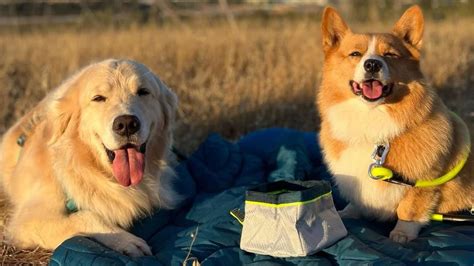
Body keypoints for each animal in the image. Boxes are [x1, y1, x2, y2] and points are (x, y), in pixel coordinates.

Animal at [316, 5, 472, 243]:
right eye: (355, 54)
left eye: (390, 55)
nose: (372, 64)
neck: (371, 118)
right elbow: (358, 199)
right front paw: (347, 213)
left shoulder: (426, 180)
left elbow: (410, 208)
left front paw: (402, 234)